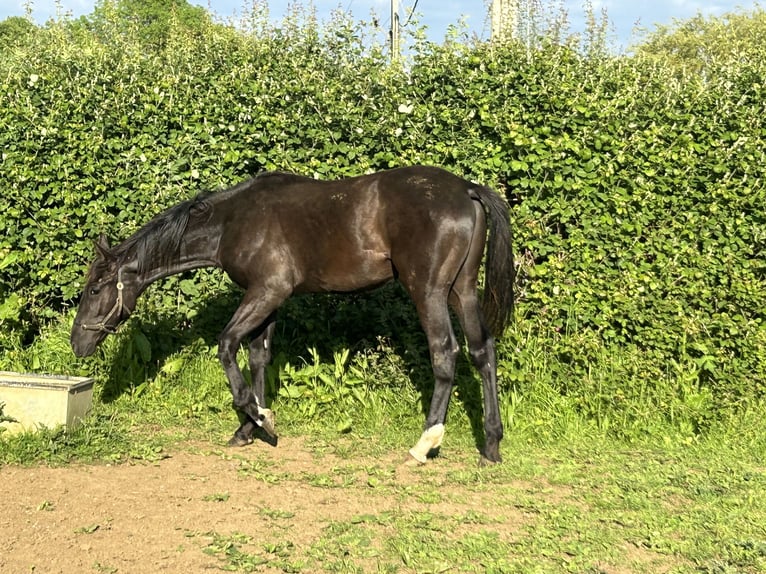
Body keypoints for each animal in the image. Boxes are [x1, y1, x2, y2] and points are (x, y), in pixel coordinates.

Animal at [70, 165, 516, 464]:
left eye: (95, 289)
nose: (78, 343)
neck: (233, 221)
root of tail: (468, 190)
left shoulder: (267, 291)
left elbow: (227, 346)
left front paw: (260, 417)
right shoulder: (270, 299)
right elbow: (258, 358)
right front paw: (247, 429)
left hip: (429, 291)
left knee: (445, 353)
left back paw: (425, 443)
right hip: (462, 290)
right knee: (482, 351)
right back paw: (491, 445)